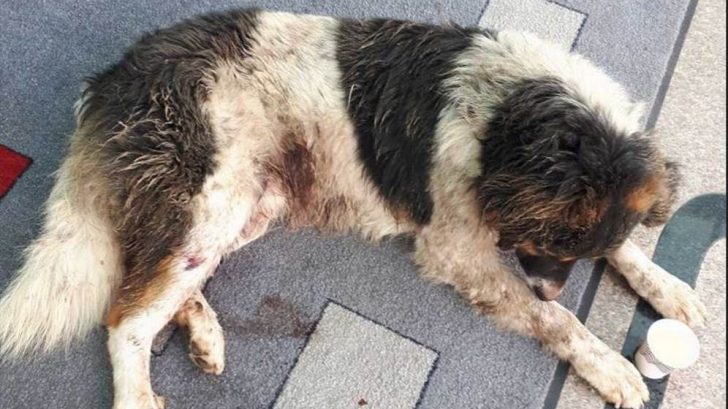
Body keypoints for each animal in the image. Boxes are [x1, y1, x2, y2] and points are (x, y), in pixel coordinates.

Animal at [0, 8, 707, 409]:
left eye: (572, 251)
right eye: (547, 246)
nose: (549, 284)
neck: (513, 115)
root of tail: (111, 79)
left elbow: (625, 245)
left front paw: (669, 288)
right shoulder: (456, 249)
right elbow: (556, 323)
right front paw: (610, 367)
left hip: (249, 204)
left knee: (154, 284)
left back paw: (203, 332)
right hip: (209, 198)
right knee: (126, 317)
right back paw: (142, 392)